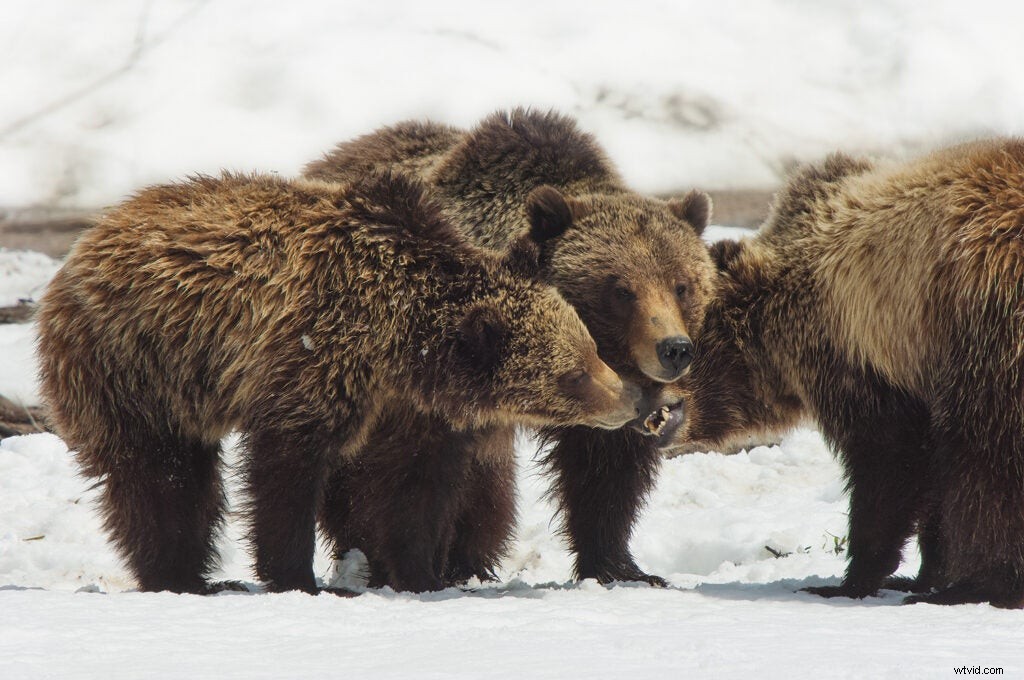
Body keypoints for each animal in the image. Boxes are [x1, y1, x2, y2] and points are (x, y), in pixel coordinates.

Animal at [35, 170, 649, 595]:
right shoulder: (313, 359)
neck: (397, 343)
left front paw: (422, 575)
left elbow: (414, 490)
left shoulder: (411, 410)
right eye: (574, 372)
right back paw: (181, 576)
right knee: (161, 477)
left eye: (593, 349)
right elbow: (286, 472)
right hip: (136, 367)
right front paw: (298, 577)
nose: (631, 401)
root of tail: (85, 243)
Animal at [304, 109, 716, 588]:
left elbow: (605, 474)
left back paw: (470, 563)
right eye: (621, 290)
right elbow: (411, 473)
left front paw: (622, 569)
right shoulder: (426, 379)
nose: (674, 349)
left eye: (682, 285)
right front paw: (414, 571)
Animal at [673, 139, 1024, 608]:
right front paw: (922, 574)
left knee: (986, 457)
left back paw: (979, 586)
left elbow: (888, 457)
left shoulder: (859, 353)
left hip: (990, 326)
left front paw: (853, 579)